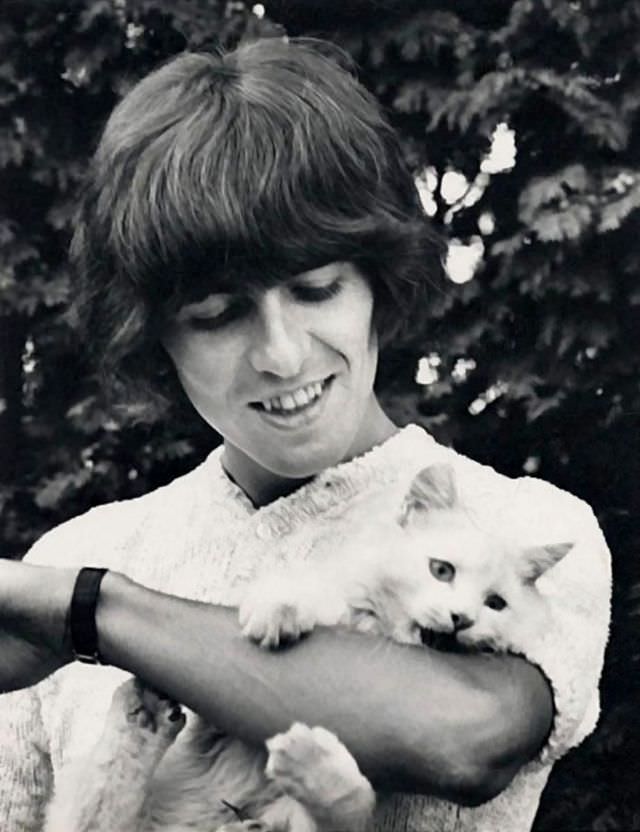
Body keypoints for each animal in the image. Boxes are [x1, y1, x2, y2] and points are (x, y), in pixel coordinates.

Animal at [46, 464, 568, 828]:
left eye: (495, 603)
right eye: (441, 570)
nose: (462, 619)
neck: (377, 630)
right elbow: (307, 592)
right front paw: (277, 612)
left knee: (343, 809)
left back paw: (307, 763)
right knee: (99, 804)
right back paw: (145, 715)